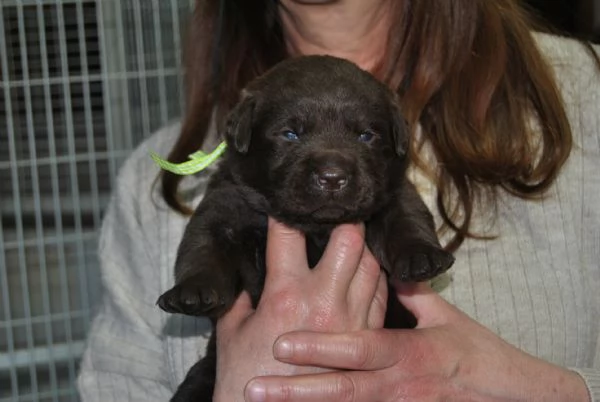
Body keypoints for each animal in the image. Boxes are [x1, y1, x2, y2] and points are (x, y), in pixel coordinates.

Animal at [157, 55, 452, 400]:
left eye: (366, 135)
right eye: (290, 134)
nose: (332, 177)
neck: (316, 228)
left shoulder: (391, 191)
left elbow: (408, 217)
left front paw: (422, 256)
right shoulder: (226, 204)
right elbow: (202, 246)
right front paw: (193, 291)